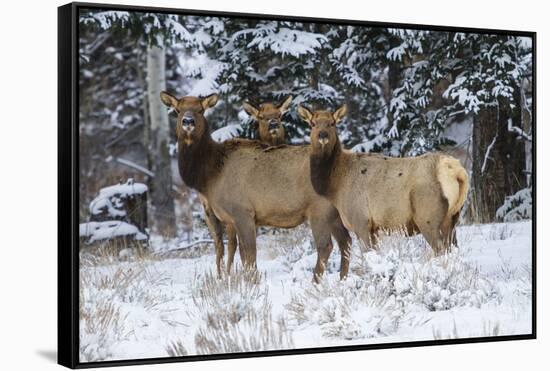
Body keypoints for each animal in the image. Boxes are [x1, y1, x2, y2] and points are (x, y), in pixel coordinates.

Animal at [158, 92, 354, 282]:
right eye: (177, 110)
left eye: (200, 110)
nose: (188, 121)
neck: (210, 175)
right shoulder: (230, 218)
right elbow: (239, 252)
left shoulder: (242, 212)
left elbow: (249, 254)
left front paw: (250, 283)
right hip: (335, 213)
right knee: (346, 241)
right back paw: (342, 279)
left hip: (319, 209)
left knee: (326, 246)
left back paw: (316, 282)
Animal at [298, 104, 470, 256]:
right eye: (312, 123)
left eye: (332, 123)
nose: (323, 136)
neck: (335, 186)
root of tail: (457, 171)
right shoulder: (374, 228)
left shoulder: (361, 220)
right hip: (453, 217)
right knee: (453, 248)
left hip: (428, 216)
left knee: (440, 249)